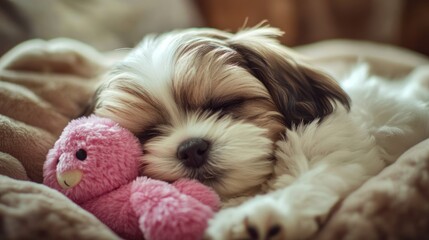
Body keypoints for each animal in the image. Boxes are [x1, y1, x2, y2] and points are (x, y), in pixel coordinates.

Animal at [91, 25, 428, 239]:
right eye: (149, 132)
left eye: (224, 105)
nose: (191, 148)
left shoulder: (336, 148)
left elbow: (312, 178)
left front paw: (267, 213)